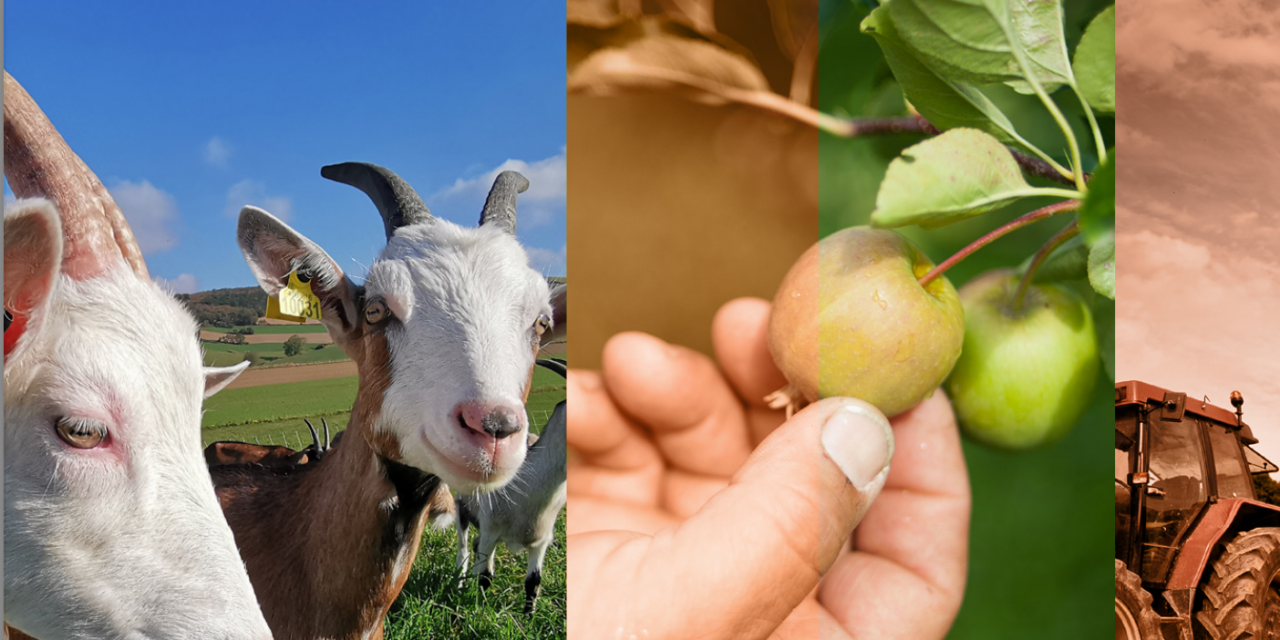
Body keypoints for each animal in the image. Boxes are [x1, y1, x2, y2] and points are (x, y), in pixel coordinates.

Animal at [455, 396, 565, 611]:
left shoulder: (541, 540)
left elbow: (533, 582)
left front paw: (529, 616)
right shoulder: (491, 530)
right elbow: (486, 577)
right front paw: (480, 609)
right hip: (462, 507)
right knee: (464, 550)